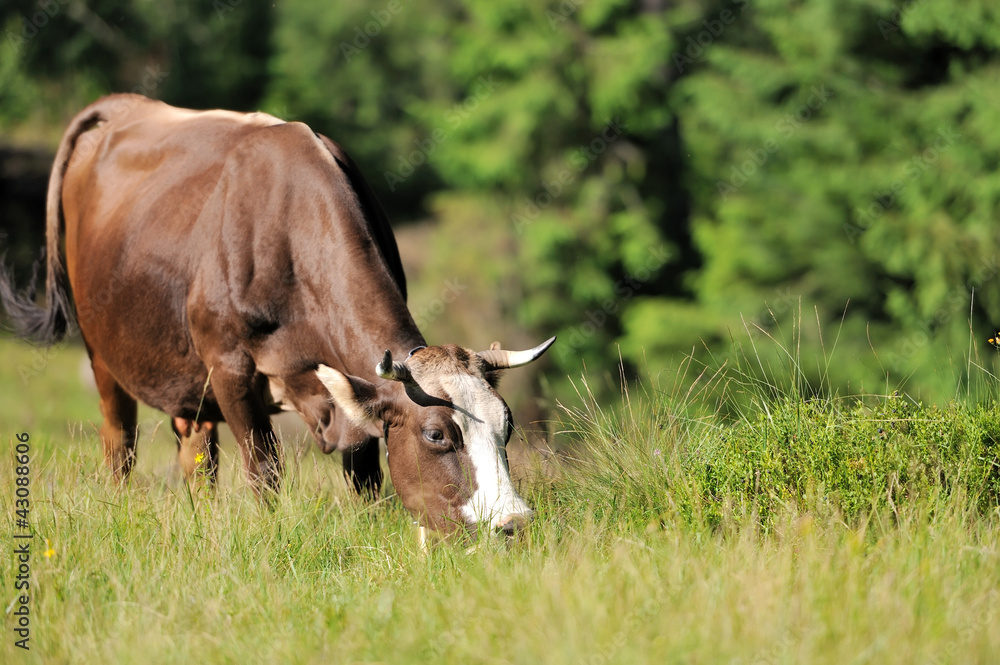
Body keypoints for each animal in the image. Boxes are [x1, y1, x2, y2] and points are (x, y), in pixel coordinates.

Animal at [0, 93, 556, 536]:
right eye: (437, 434)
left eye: (506, 425)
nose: (513, 522)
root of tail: (123, 104)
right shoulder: (230, 369)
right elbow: (264, 473)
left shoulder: (349, 396)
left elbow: (366, 478)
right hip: (103, 354)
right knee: (121, 445)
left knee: (197, 457)